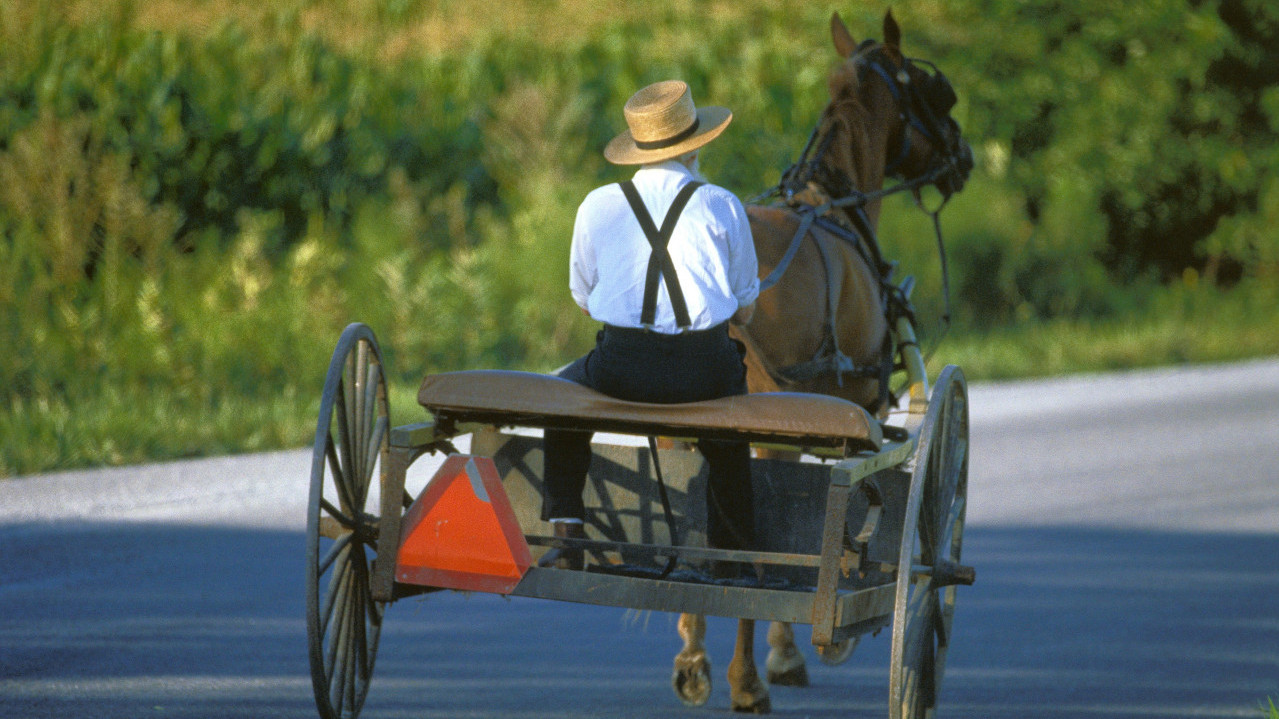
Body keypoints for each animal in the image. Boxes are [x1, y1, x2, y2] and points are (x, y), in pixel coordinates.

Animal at [670, 11, 966, 711]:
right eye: (938, 93)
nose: (963, 158)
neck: (833, 204)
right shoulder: (839, 414)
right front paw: (786, 655)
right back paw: (746, 681)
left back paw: (694, 658)